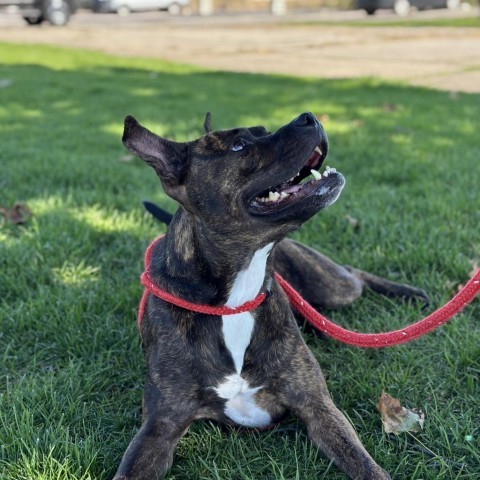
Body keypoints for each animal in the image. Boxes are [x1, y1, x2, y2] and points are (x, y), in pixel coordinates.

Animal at [114, 113, 426, 480]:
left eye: (262, 131)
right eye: (238, 145)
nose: (309, 117)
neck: (234, 301)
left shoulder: (318, 407)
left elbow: (366, 466)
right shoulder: (159, 427)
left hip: (332, 287)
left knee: (354, 275)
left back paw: (411, 294)